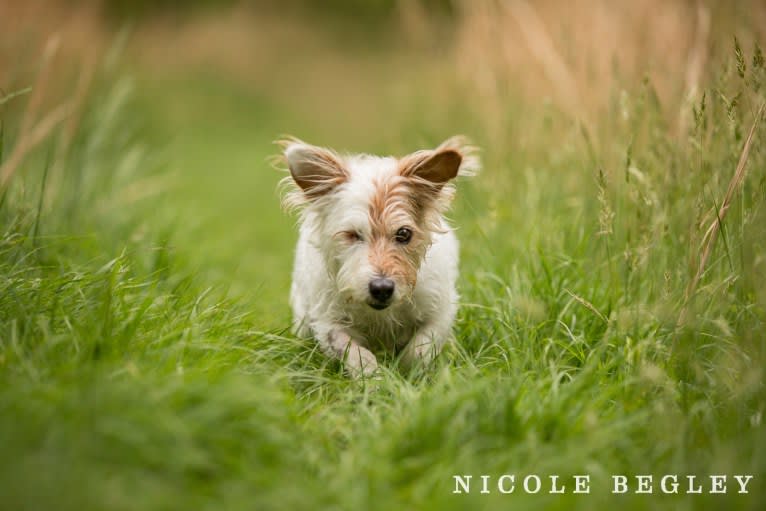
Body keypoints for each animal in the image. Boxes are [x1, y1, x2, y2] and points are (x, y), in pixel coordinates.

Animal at [280, 138, 476, 378]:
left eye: (404, 233)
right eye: (352, 234)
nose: (382, 288)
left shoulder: (440, 310)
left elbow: (420, 348)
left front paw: (408, 374)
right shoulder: (328, 321)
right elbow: (353, 352)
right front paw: (374, 378)